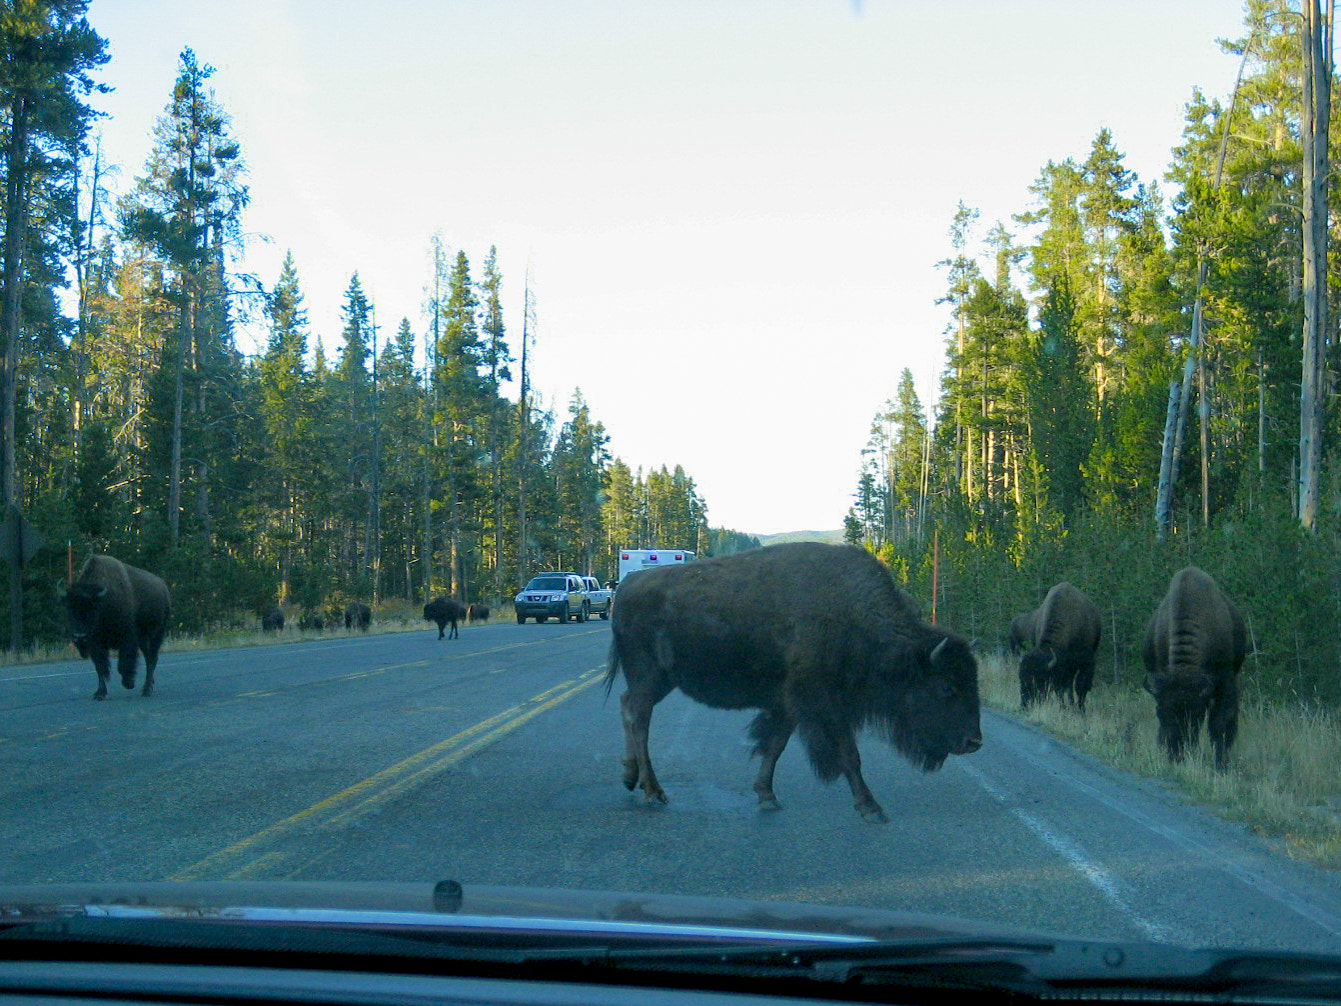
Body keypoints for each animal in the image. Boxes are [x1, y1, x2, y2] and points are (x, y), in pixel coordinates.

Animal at [62, 552, 171, 702]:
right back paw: (148, 685)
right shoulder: (96, 644)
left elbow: (123, 663)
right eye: (69, 609)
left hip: (156, 635)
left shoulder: (128, 639)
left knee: (152, 659)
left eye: (92, 609)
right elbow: (101, 667)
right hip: (144, 640)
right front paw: (100, 693)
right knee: (149, 658)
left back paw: (146, 689)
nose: (79, 636)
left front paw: (129, 683)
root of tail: (164, 588)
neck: (104, 600)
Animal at [608, 547, 986, 820]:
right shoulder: (825, 704)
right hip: (650, 676)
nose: (974, 742)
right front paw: (871, 808)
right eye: (946, 687)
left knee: (628, 707)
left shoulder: (789, 704)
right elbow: (849, 755)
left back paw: (630, 777)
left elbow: (775, 745)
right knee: (638, 717)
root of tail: (626, 587)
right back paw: (654, 791)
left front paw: (766, 795)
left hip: (661, 680)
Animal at [1013, 579, 1099, 713]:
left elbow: (1081, 686)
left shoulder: (1087, 661)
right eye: (1021, 678)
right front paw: (1063, 708)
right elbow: (1060, 689)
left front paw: (1081, 711)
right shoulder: (1062, 668)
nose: (1024, 704)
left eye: (1040, 679)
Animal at [1142, 568, 1244, 772]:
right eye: (1160, 712)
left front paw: (1221, 764)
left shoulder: (1225, 681)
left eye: (1196, 715)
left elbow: (1220, 722)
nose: (1176, 753)